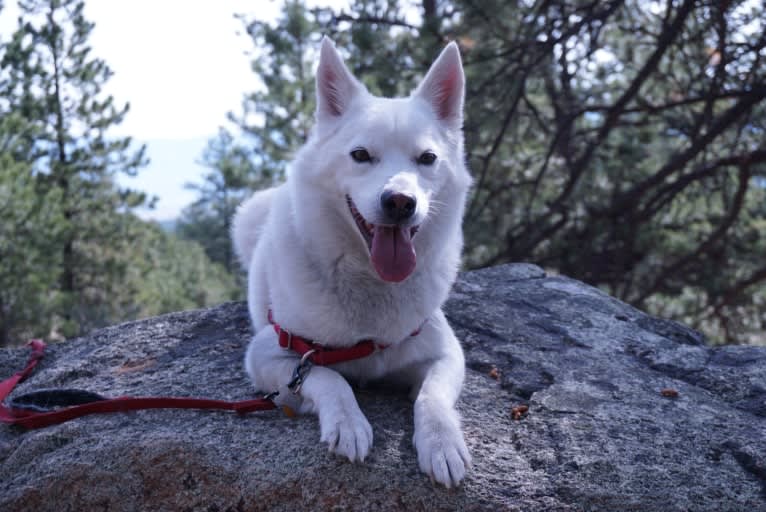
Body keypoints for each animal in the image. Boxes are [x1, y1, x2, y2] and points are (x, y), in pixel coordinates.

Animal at [232, 38, 474, 486]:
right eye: (360, 155)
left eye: (427, 158)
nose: (400, 202)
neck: (371, 282)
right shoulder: (270, 355)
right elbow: (328, 378)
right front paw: (348, 423)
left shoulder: (445, 352)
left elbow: (431, 397)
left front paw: (442, 442)